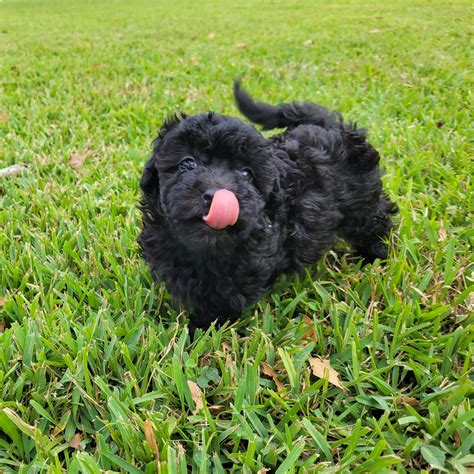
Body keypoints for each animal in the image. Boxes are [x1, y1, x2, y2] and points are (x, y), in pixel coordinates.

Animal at [140, 82, 396, 330]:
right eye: (188, 163)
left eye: (246, 173)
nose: (216, 195)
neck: (205, 248)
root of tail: (331, 126)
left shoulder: (244, 269)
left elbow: (223, 301)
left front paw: (204, 328)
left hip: (362, 201)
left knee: (375, 220)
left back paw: (374, 256)